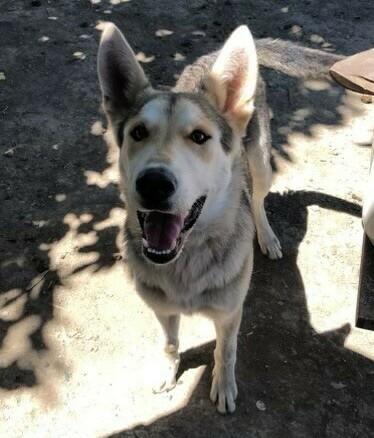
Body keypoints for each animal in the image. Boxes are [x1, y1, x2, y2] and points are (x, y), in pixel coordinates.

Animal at [96, 24, 336, 414]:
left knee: (257, 199)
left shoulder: (228, 314)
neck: (185, 261)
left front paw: (223, 386)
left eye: (199, 137)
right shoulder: (163, 310)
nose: (153, 183)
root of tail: (211, 55)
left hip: (261, 162)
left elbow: (226, 352)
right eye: (138, 133)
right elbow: (169, 343)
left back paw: (266, 236)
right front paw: (168, 371)